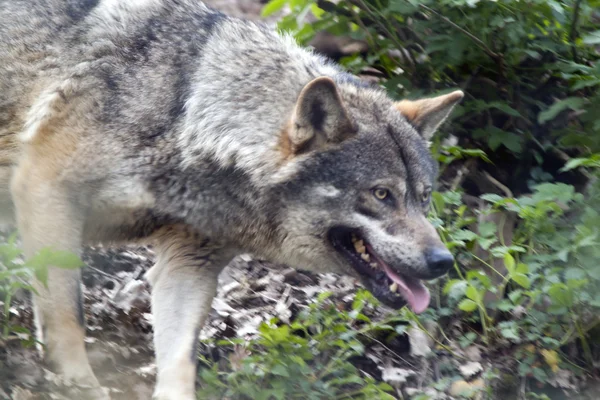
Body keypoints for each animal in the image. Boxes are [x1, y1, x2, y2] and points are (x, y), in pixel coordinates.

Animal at [0, 1, 464, 398]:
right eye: (382, 194)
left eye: (424, 197)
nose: (443, 261)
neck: (187, 114)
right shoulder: (45, 192)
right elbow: (67, 314)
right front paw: (76, 384)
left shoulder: (191, 262)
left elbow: (180, 361)